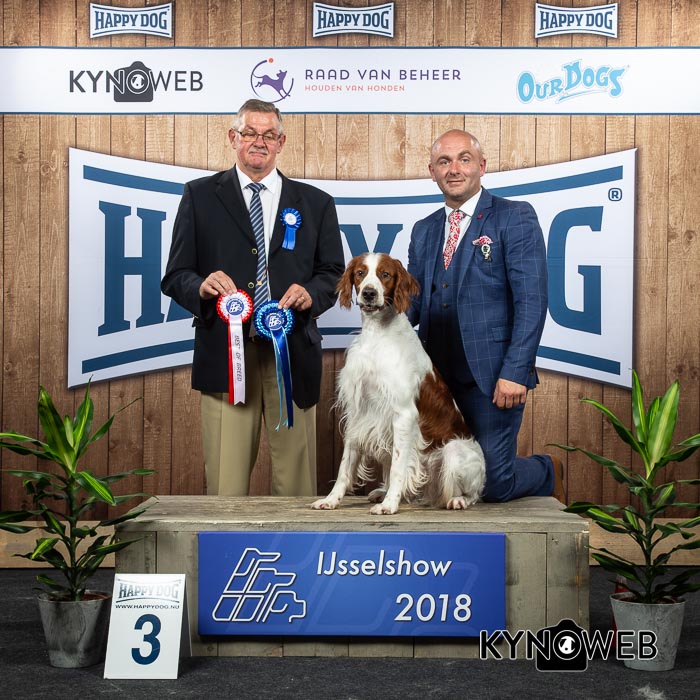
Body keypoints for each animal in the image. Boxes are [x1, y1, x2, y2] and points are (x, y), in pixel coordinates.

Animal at [312, 253, 485, 515]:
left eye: (385, 274)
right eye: (360, 273)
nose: (369, 293)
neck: (377, 334)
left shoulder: (403, 414)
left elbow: (397, 467)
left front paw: (389, 504)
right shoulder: (357, 412)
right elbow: (345, 466)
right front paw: (331, 499)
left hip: (453, 451)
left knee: (474, 494)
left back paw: (458, 500)